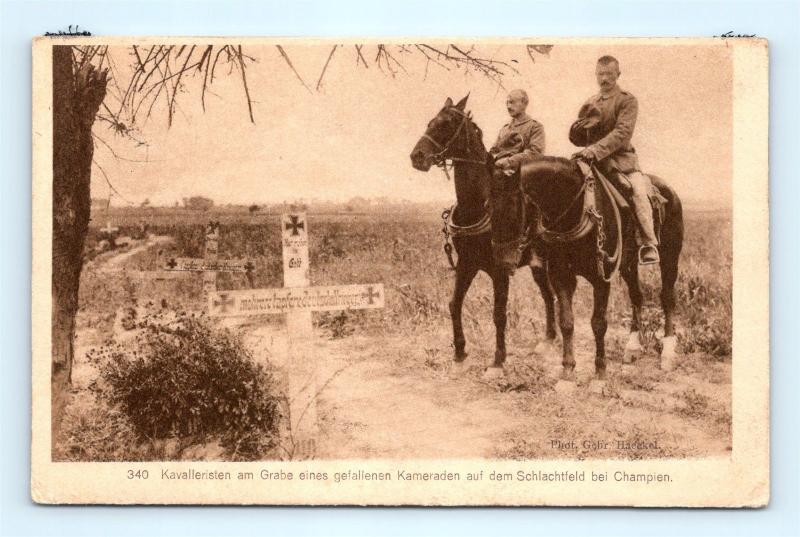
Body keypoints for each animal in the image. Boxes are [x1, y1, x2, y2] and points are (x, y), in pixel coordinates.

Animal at [410, 95, 552, 372]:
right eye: (431, 121)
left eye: (447, 123)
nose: (417, 156)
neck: (476, 206)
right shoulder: (467, 263)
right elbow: (454, 304)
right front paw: (459, 352)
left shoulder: (500, 270)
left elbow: (499, 313)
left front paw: (498, 359)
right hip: (538, 264)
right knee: (549, 296)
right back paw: (550, 340)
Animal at [494, 155, 688, 382]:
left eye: (513, 210)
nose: (501, 262)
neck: (578, 209)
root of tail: (669, 191)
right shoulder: (561, 276)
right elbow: (566, 322)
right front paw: (567, 371)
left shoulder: (601, 277)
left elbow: (598, 323)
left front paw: (600, 372)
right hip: (628, 266)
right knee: (637, 296)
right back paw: (632, 347)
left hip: (670, 256)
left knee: (667, 298)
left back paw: (667, 353)